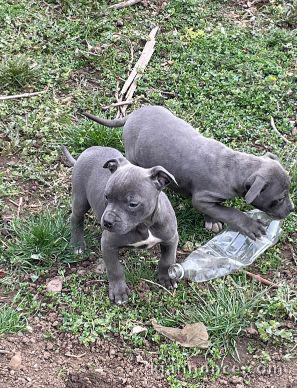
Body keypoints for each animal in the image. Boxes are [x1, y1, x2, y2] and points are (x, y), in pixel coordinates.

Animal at [62, 144, 178, 304]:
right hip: (80, 199)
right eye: (106, 196)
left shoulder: (171, 238)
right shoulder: (108, 244)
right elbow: (115, 269)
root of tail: (89, 150)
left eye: (133, 204)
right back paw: (77, 245)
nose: (107, 222)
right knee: (75, 218)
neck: (144, 224)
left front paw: (167, 277)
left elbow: (168, 259)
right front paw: (119, 291)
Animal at [81, 105, 294, 239]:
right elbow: (228, 211)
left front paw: (212, 219)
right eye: (279, 199)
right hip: (133, 155)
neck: (235, 166)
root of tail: (132, 115)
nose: (292, 209)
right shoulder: (202, 199)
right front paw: (247, 224)